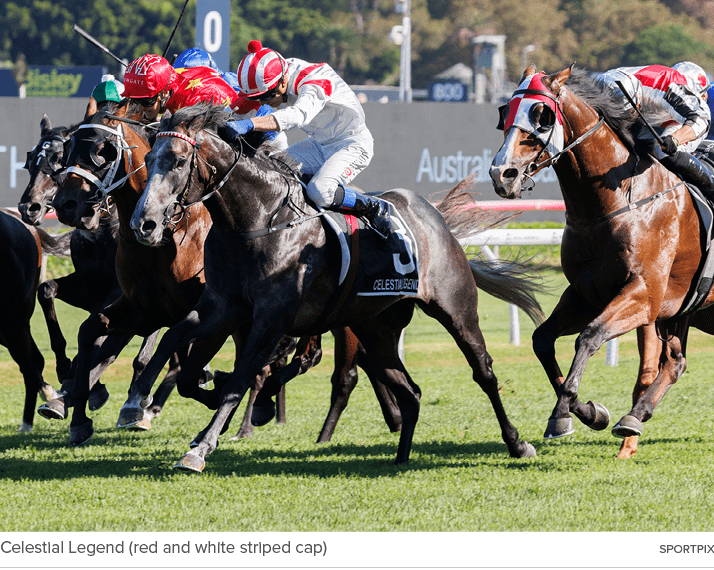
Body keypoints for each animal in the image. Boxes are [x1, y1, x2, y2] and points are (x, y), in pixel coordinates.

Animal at [126, 104, 540, 472]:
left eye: (178, 161)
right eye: (150, 158)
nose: (144, 223)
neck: (258, 221)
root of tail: (436, 220)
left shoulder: (271, 320)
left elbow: (240, 379)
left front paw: (201, 446)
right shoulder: (223, 305)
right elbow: (175, 343)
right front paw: (137, 401)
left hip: (456, 309)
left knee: (483, 372)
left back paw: (517, 443)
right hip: (376, 327)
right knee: (409, 392)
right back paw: (401, 457)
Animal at [486, 63, 712, 458]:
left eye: (542, 116)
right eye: (505, 114)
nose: (502, 174)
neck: (618, 199)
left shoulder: (643, 295)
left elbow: (590, 336)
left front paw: (564, 413)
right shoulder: (586, 294)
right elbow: (542, 340)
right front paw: (589, 413)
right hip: (684, 312)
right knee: (675, 363)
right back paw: (634, 418)